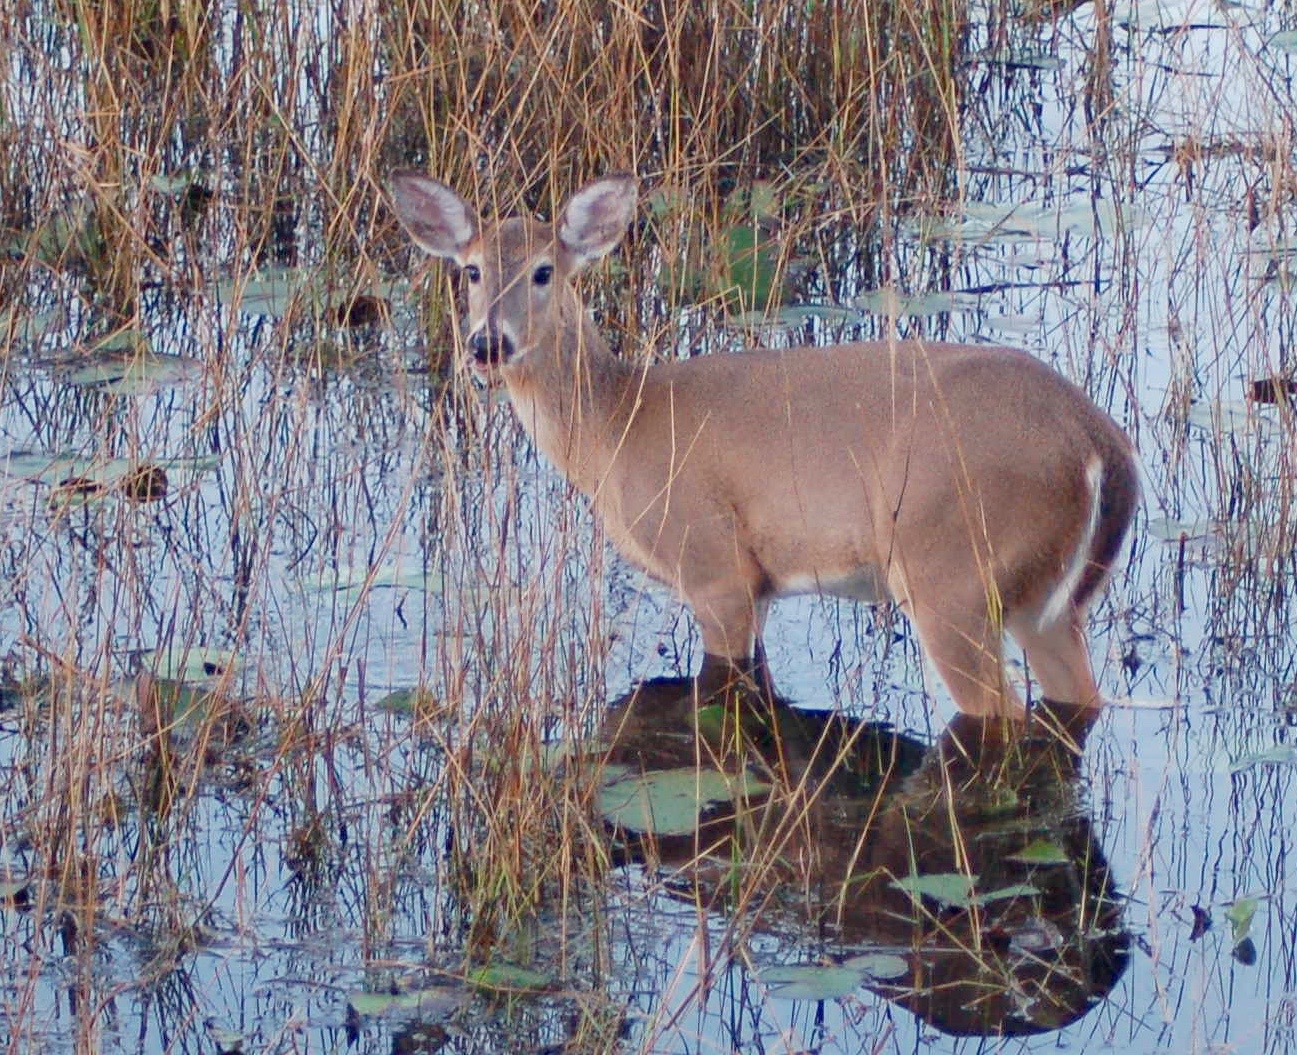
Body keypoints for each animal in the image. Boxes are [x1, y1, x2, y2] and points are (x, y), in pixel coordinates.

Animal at [388, 169, 1139, 719]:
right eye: (471, 270)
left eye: (545, 271)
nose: (488, 343)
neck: (617, 426)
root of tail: (1099, 441)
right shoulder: (761, 585)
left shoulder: (713, 564)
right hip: (1046, 602)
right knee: (1079, 699)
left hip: (951, 571)